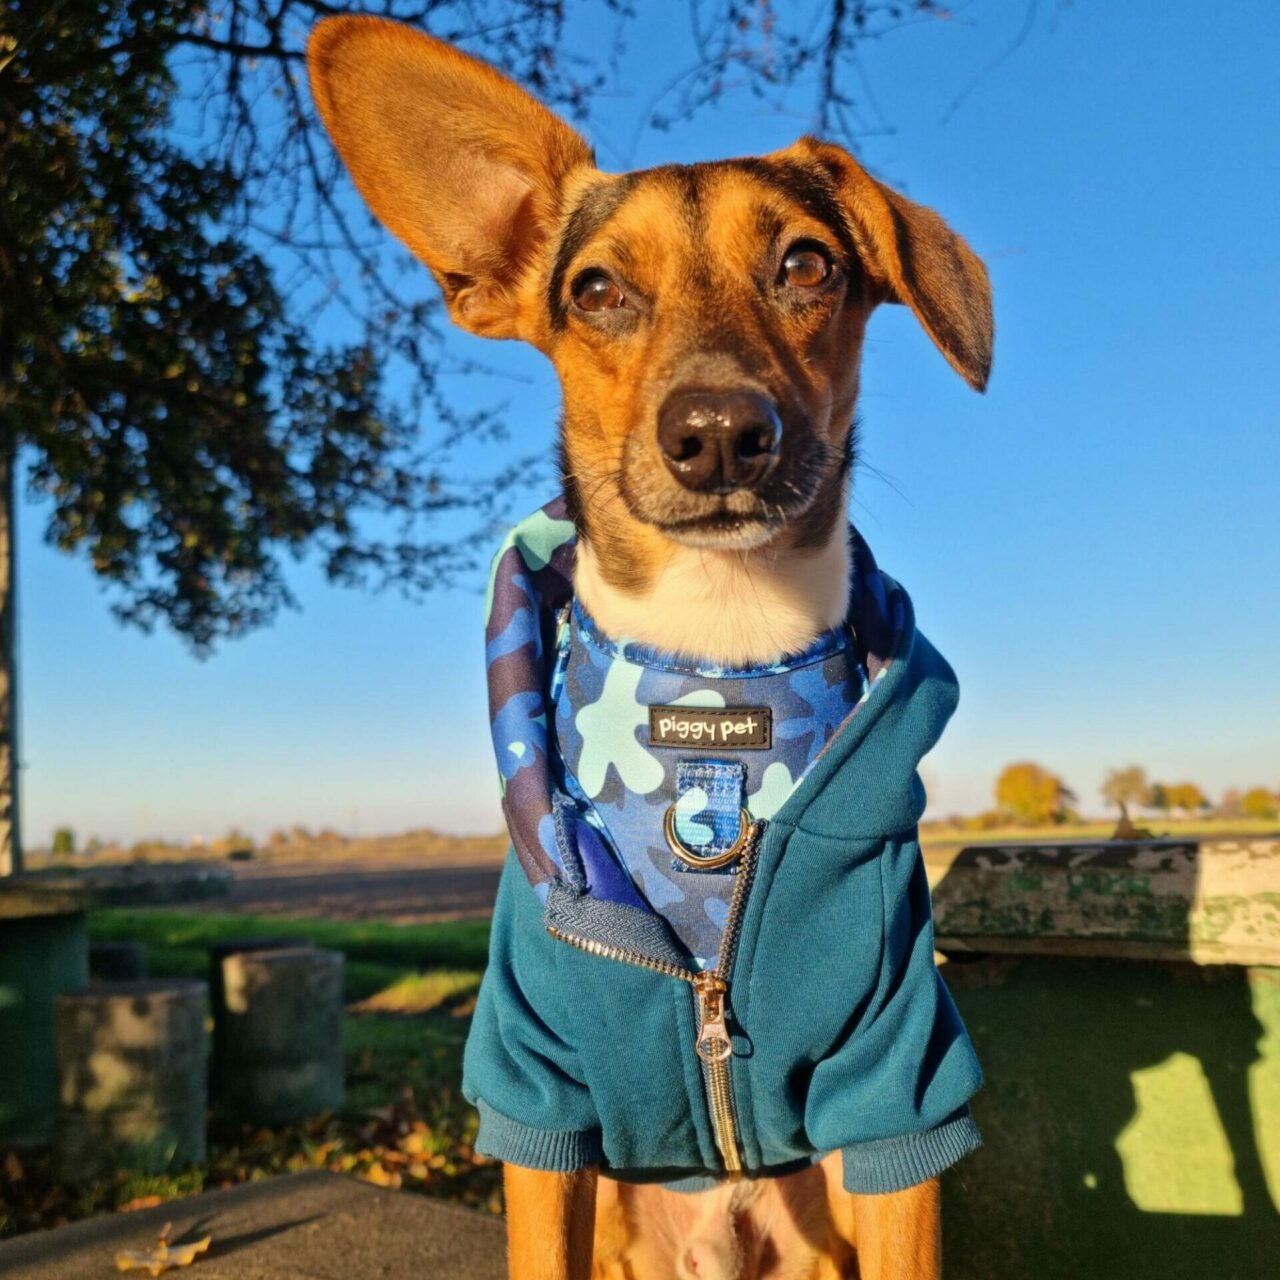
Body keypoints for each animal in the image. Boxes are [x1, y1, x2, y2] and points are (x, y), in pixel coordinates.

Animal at [307, 15, 988, 1274]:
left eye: (807, 264)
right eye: (595, 288)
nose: (717, 431)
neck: (715, 671)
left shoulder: (896, 1087)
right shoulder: (533, 1094)